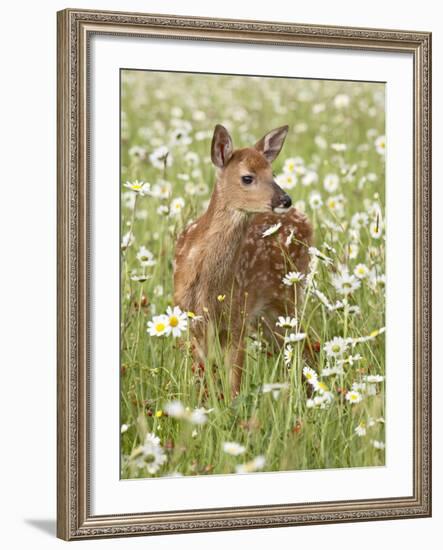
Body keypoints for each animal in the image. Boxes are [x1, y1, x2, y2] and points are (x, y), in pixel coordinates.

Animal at [173, 126, 312, 396]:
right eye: (247, 177)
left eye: (272, 172)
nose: (285, 200)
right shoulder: (192, 321)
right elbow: (201, 377)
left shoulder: (237, 318)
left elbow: (234, 384)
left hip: (287, 297)